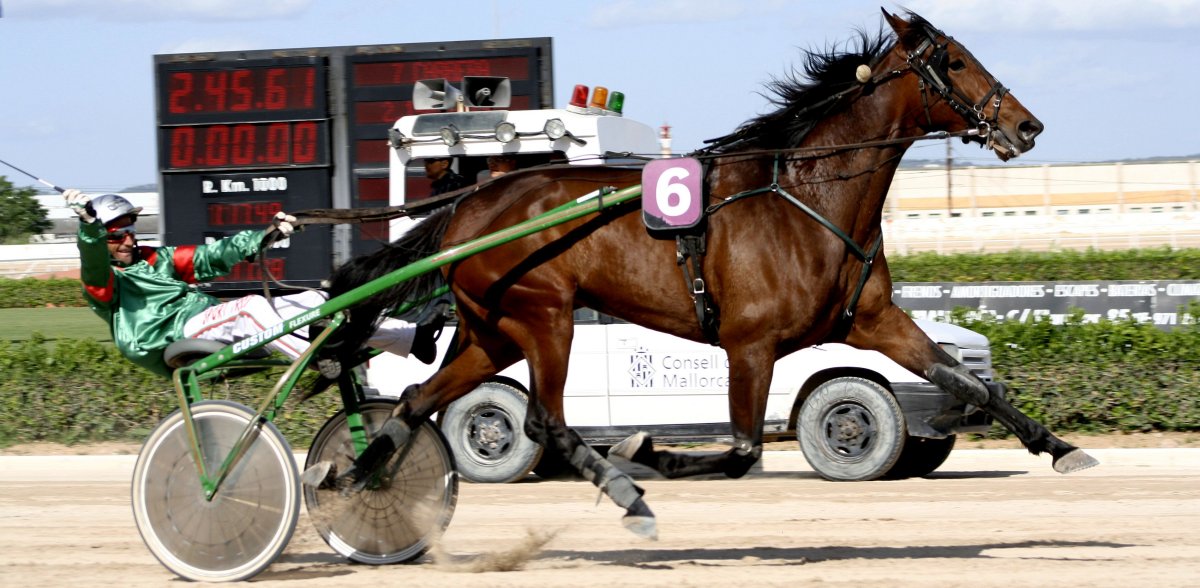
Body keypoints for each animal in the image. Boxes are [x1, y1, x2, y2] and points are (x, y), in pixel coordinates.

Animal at [320, 9, 1097, 540]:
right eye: (957, 62)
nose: (1027, 127)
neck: (808, 198)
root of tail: (468, 205)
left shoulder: (872, 322)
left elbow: (965, 381)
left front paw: (1060, 447)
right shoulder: (751, 345)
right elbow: (743, 450)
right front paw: (648, 452)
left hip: (493, 332)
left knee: (417, 399)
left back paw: (356, 475)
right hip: (547, 317)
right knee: (541, 419)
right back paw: (628, 495)